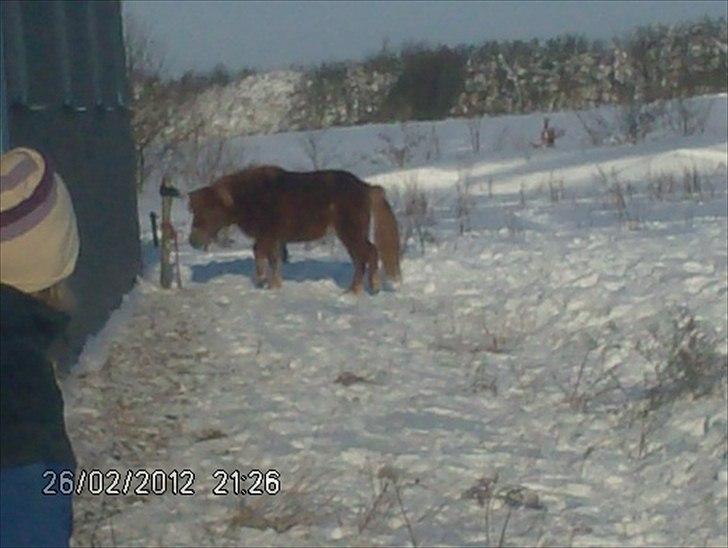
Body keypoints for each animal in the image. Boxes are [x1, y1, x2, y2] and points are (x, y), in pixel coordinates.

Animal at [186, 165, 404, 294]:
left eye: (211, 209)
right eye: (194, 210)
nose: (193, 241)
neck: (252, 196)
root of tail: (366, 187)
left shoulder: (267, 235)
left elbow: (259, 253)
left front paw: (263, 281)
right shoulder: (274, 239)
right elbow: (274, 260)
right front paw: (274, 285)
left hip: (350, 232)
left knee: (368, 254)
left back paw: (366, 288)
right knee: (362, 258)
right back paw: (356, 289)